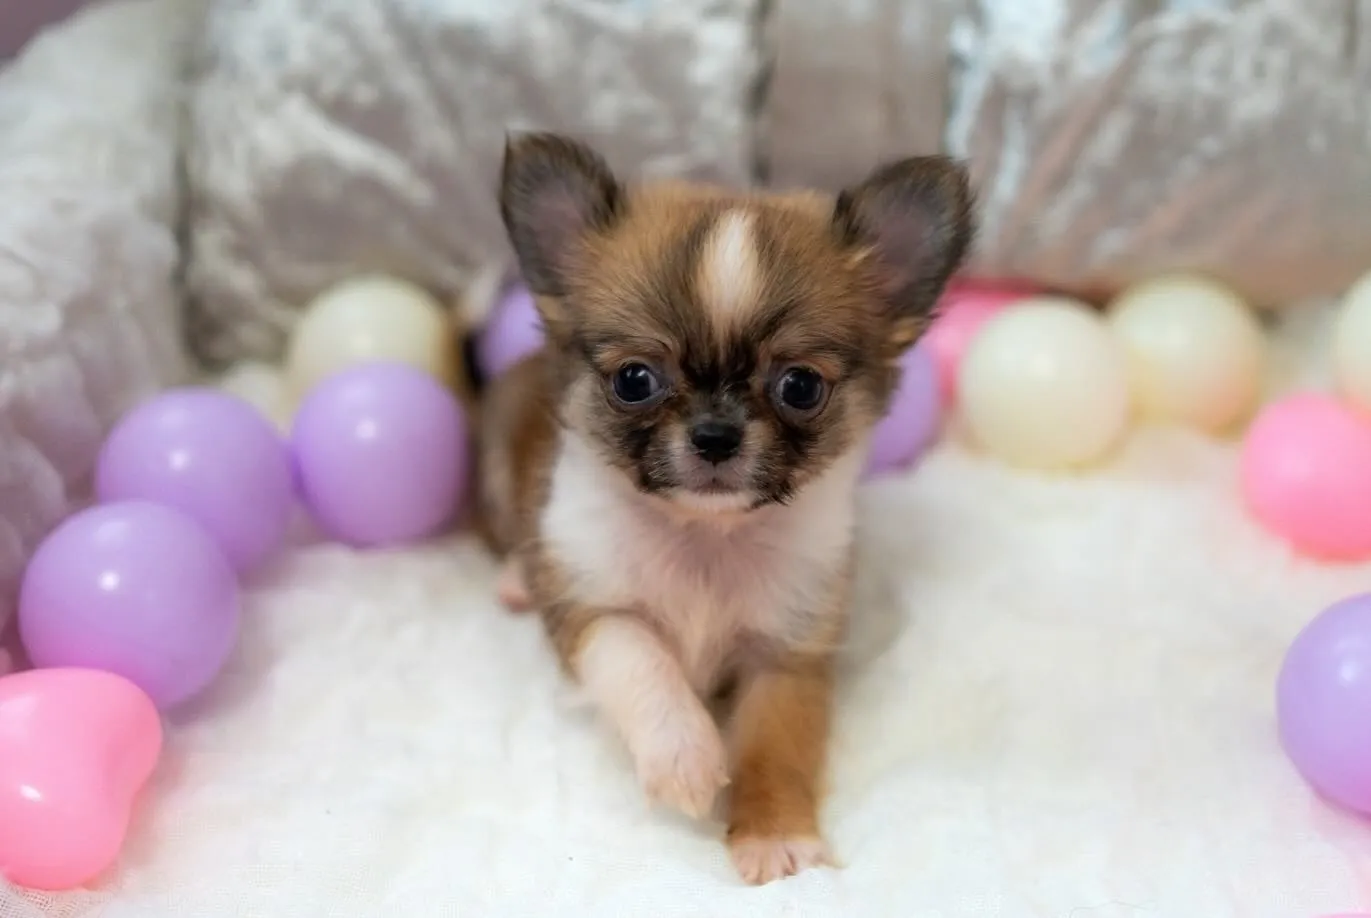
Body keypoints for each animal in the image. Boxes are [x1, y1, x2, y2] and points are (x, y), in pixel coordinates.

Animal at [482, 131, 976, 882]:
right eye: (634, 380)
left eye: (800, 387)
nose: (715, 434)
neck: (705, 538)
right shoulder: (594, 608)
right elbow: (642, 660)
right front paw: (684, 753)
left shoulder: (785, 654)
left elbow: (776, 748)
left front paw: (775, 836)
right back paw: (515, 576)